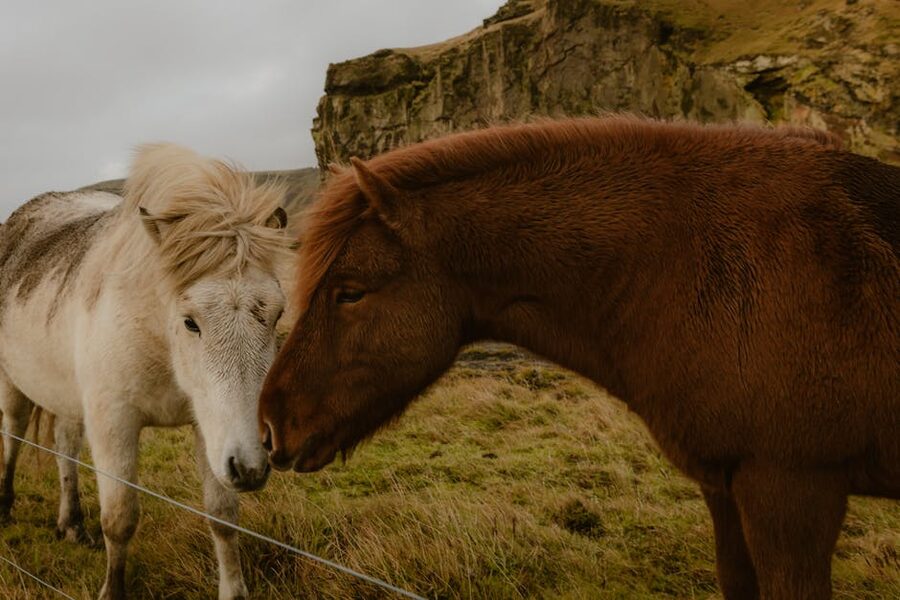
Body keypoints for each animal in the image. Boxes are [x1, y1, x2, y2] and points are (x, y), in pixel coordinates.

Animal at [0, 144, 290, 600]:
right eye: (190, 322)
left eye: (278, 314)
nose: (252, 468)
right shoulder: (114, 422)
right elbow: (120, 519)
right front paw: (113, 590)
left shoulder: (210, 427)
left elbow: (223, 516)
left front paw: (233, 590)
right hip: (13, 386)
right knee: (12, 438)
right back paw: (6, 508)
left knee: (65, 448)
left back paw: (72, 525)